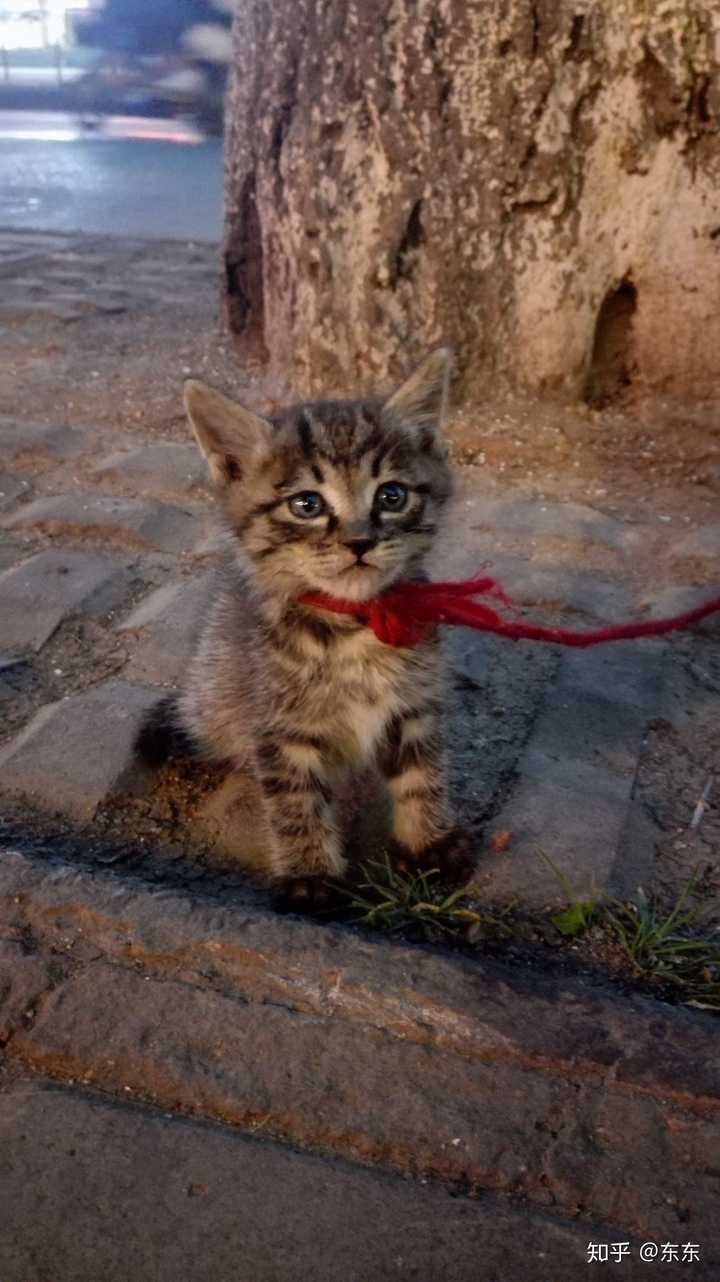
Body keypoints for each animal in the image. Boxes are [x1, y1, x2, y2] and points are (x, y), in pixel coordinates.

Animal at [135, 351, 471, 907]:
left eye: (392, 495)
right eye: (307, 505)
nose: (359, 542)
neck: (354, 628)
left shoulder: (415, 704)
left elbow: (422, 774)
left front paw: (429, 840)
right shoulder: (278, 725)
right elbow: (295, 800)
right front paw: (311, 874)